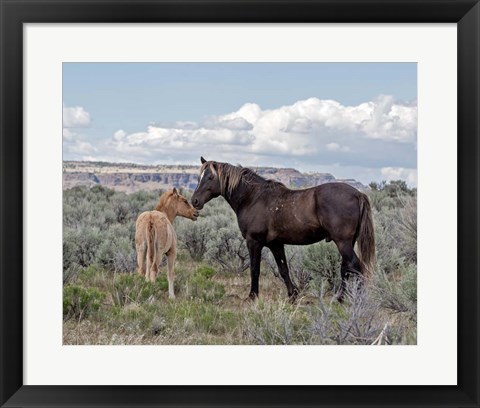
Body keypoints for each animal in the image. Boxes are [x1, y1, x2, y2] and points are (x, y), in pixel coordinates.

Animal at [190, 156, 376, 300]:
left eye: (210, 177)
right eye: (199, 177)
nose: (194, 201)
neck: (253, 198)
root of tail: (358, 194)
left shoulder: (253, 242)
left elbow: (255, 269)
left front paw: (252, 296)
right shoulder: (276, 244)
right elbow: (283, 269)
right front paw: (292, 295)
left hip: (342, 242)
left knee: (354, 265)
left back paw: (352, 299)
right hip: (348, 242)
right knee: (347, 268)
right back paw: (341, 297)